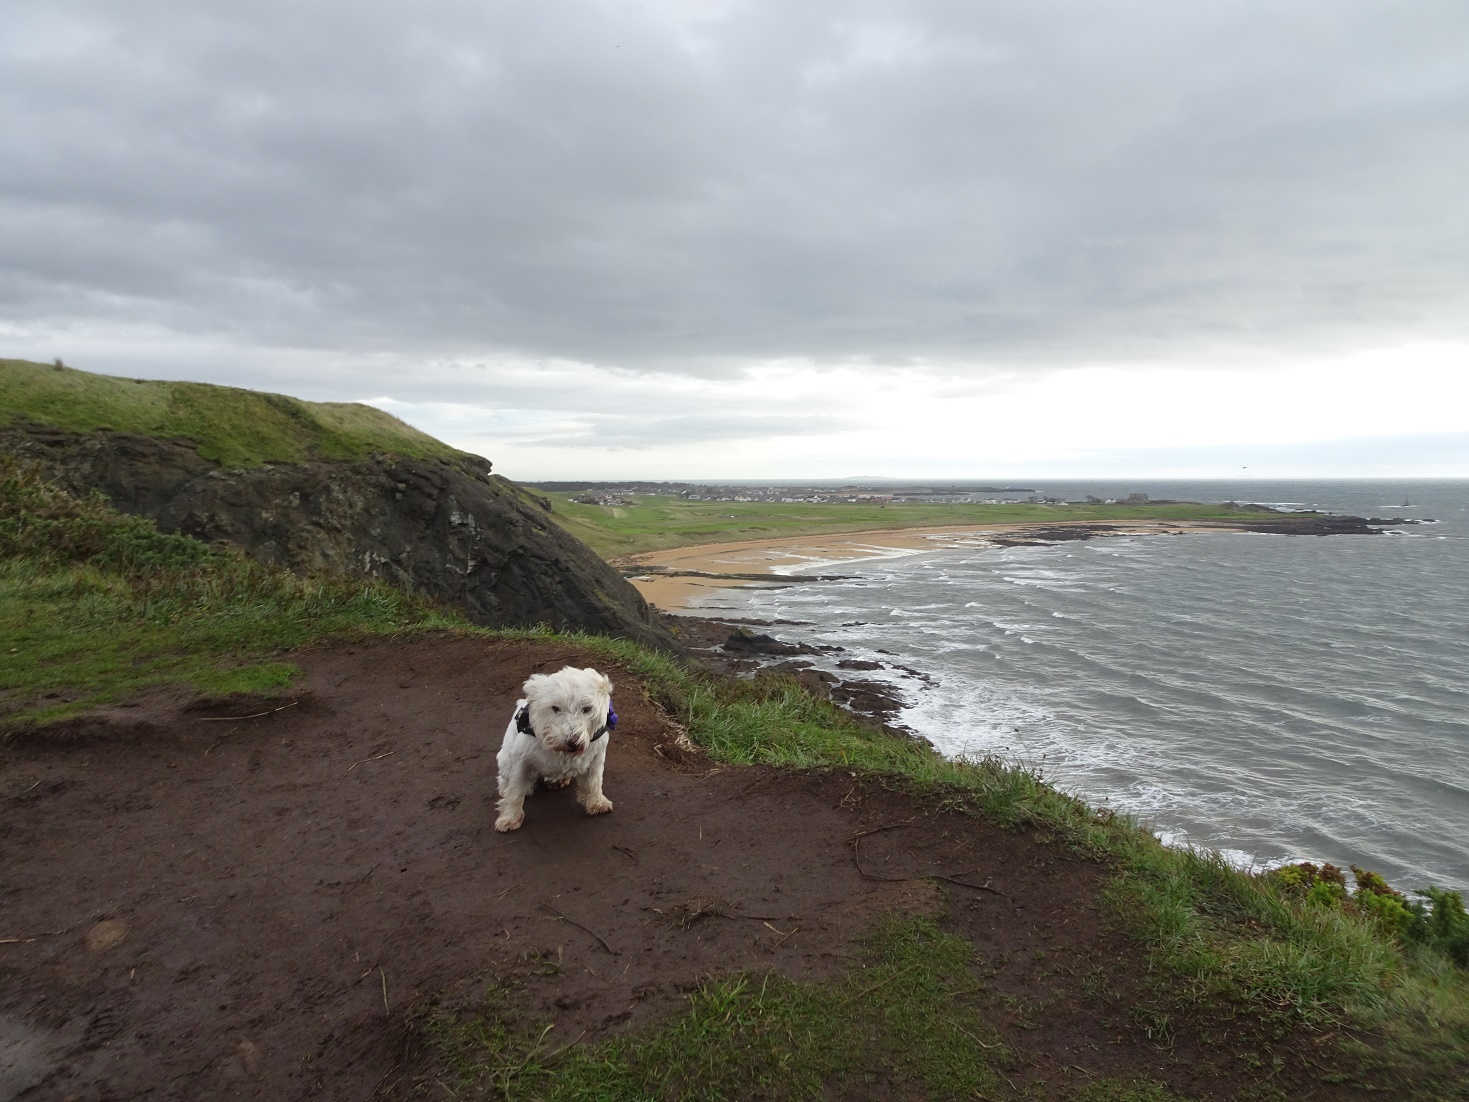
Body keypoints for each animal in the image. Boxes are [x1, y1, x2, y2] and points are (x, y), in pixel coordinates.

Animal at [487, 670, 614, 834]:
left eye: (587, 709)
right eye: (555, 708)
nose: (573, 742)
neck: (559, 750)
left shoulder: (597, 756)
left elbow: (594, 781)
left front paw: (597, 802)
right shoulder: (521, 761)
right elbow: (515, 790)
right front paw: (510, 818)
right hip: (505, 759)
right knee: (505, 779)